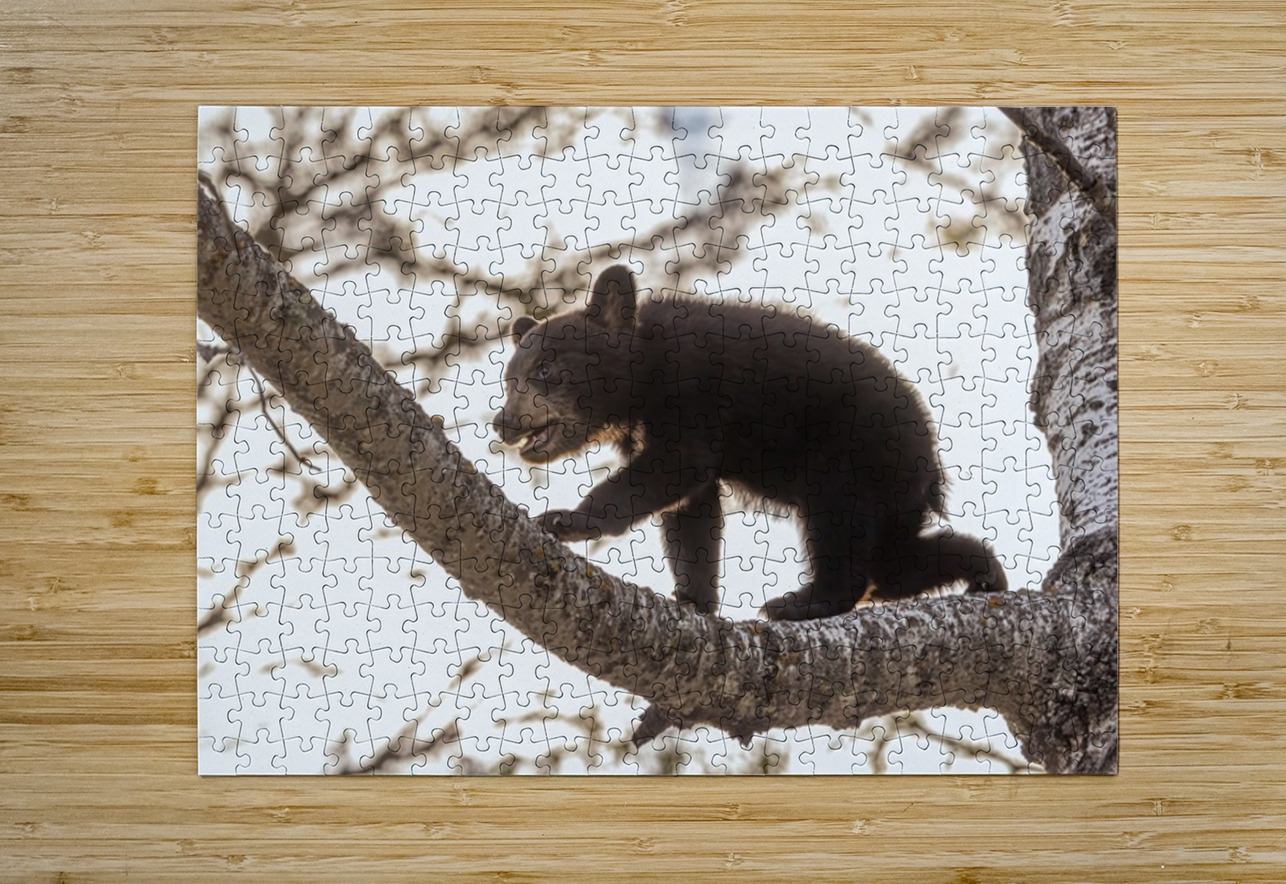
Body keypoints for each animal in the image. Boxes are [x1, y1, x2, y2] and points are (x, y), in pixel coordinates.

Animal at [492, 265, 1007, 620]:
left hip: (853, 454)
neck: (641, 381)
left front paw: (567, 519)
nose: (504, 422)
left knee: (840, 528)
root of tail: (929, 458)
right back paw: (983, 570)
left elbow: (677, 466)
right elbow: (692, 513)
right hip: (892, 493)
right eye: (508, 379)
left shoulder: (690, 387)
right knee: (894, 564)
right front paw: (694, 598)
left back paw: (799, 603)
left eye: (544, 369)